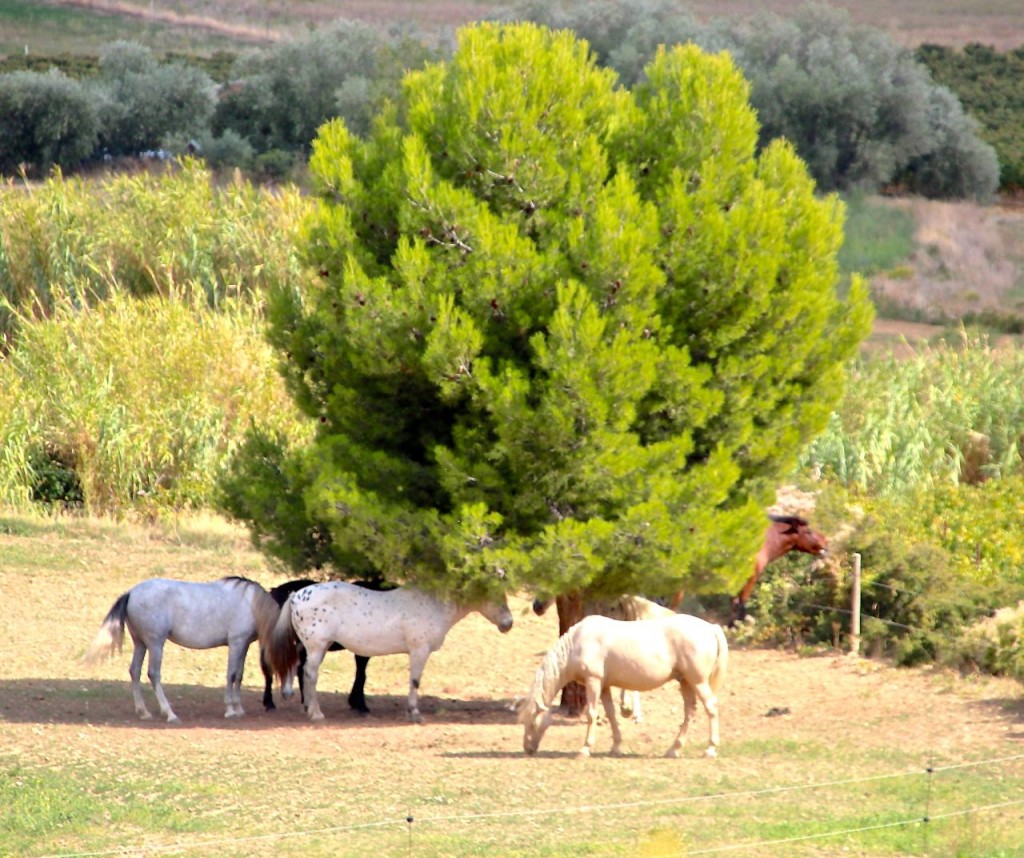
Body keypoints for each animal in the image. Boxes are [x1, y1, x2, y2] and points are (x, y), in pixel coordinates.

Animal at [82, 576, 280, 723]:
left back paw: (143, 712)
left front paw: (238, 708)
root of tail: (131, 593)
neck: (251, 603)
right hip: (155, 643)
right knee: (153, 674)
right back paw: (169, 714)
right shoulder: (236, 642)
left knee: (135, 671)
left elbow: (239, 675)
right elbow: (231, 675)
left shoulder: (243, 644)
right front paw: (230, 710)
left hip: (141, 644)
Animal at [266, 582, 513, 723]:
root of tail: (297, 595)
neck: (432, 605)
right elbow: (415, 681)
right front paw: (414, 713)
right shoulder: (419, 650)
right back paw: (316, 713)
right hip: (317, 646)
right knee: (310, 675)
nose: (508, 623)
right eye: (495, 597)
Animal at [519, 613, 728, 758]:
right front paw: (616, 747)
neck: (577, 643)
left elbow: (591, 714)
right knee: (689, 712)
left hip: (698, 681)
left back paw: (710, 749)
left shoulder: (593, 681)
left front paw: (584, 749)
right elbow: (611, 714)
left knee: (711, 707)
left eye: (532, 721)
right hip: (685, 682)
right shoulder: (603, 686)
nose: (527, 749)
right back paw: (673, 750)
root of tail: (710, 627)